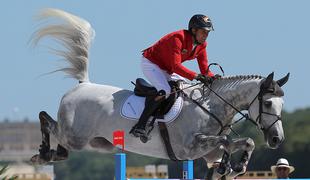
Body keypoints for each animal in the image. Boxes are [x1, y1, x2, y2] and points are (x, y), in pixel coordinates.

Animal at [30, 8, 290, 179]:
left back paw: (52, 153)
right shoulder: (190, 146)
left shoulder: (208, 152)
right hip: (75, 135)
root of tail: (83, 84)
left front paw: (237, 167)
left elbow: (244, 142)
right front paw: (229, 166)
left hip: (99, 144)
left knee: (62, 147)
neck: (211, 107)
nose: (277, 139)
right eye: (268, 104)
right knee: (48, 122)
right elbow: (227, 141)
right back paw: (42, 154)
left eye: (281, 106)